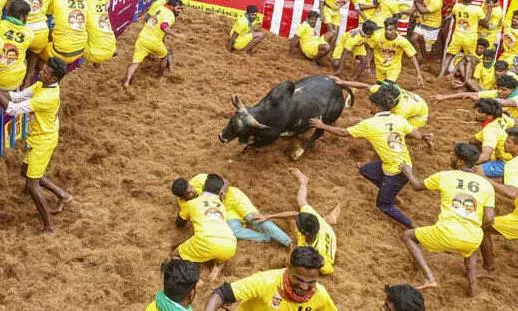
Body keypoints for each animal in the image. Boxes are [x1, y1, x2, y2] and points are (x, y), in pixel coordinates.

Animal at [217, 74, 356, 160]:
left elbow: (250, 145)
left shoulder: (268, 139)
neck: (268, 112)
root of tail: (337, 86)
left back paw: (298, 153)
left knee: (317, 134)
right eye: (231, 120)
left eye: (241, 130)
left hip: (327, 120)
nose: (221, 137)